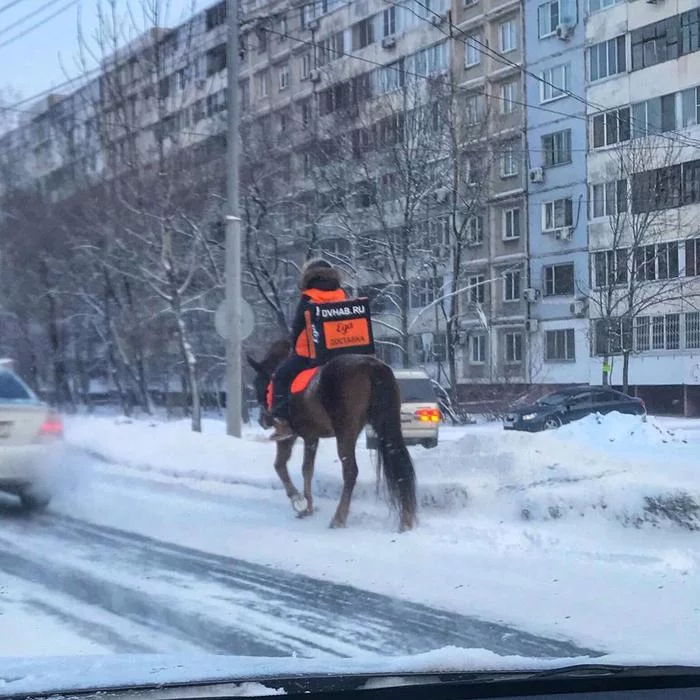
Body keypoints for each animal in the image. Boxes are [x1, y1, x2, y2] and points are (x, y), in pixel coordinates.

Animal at [247, 340, 416, 532]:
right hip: (384, 425)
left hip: (345, 432)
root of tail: (372, 366)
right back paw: (406, 520)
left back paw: (339, 518)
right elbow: (307, 469)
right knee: (400, 464)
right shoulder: (311, 437)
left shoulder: (290, 436)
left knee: (350, 471)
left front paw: (298, 500)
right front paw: (307, 507)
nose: (263, 420)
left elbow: (280, 465)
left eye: (258, 383)